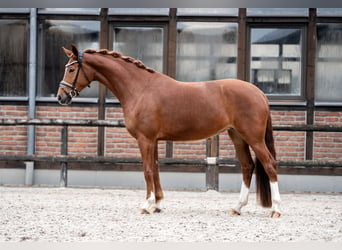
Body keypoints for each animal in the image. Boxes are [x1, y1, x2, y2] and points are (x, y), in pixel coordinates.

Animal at [56, 44, 280, 217]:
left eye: (71, 70)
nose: (61, 97)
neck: (140, 89)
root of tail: (259, 92)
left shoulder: (145, 139)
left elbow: (147, 170)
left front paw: (146, 205)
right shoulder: (154, 140)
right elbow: (155, 169)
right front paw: (157, 204)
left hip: (254, 138)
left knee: (269, 164)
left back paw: (276, 209)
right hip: (238, 136)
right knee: (247, 166)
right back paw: (237, 207)